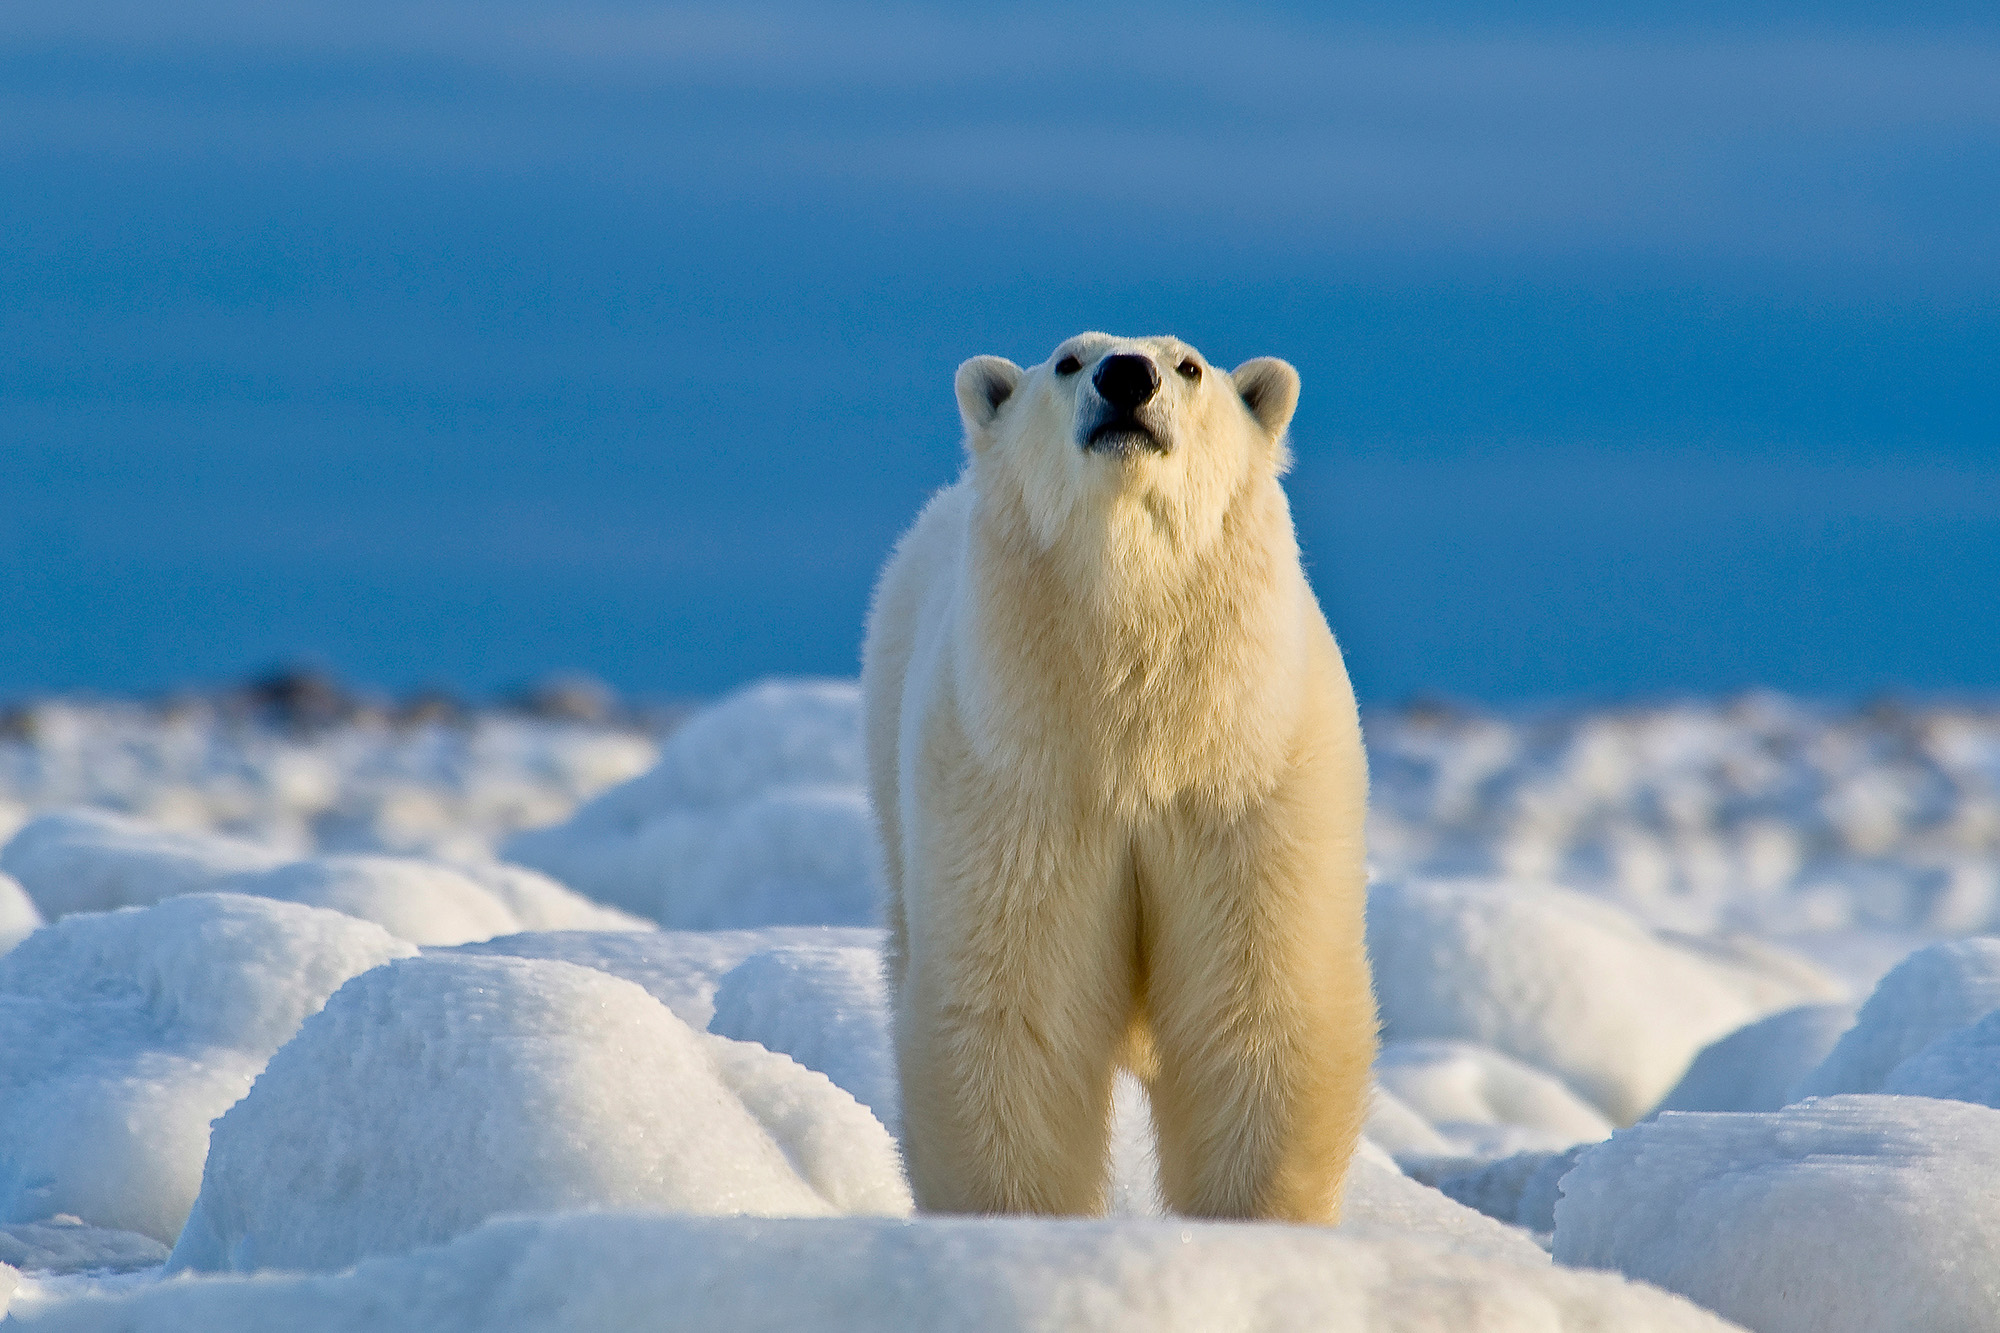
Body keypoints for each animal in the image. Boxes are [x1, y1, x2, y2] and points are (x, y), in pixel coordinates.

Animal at [861, 332, 1376, 1222]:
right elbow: (1015, 1009)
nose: (1127, 376)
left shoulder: (1245, 782)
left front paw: (1253, 1222)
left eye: (1191, 365)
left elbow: (1260, 1009)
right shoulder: (1021, 783)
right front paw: (1014, 1222)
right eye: (1069, 360)